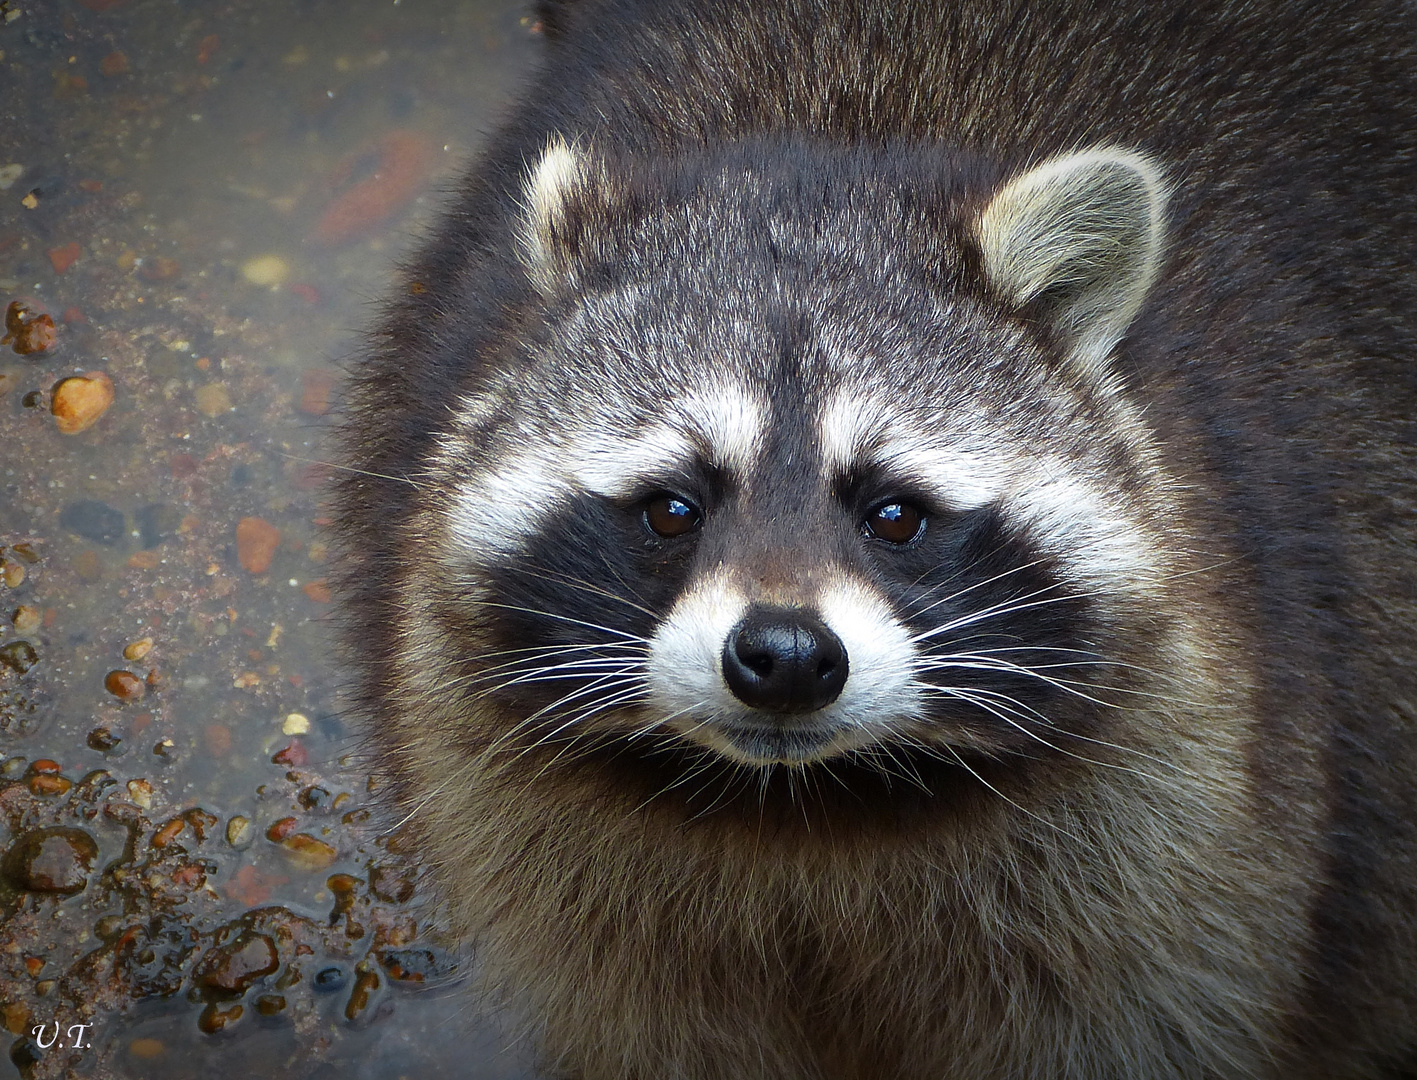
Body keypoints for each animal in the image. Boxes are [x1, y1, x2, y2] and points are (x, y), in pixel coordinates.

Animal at [334, 2, 1417, 1077]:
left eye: (893, 514)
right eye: (673, 509)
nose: (783, 657)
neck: (805, 810)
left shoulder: (1187, 838)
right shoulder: (557, 868)